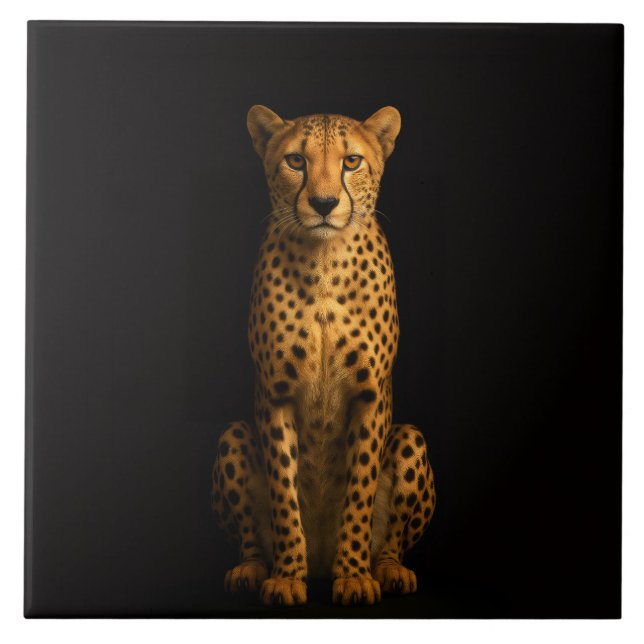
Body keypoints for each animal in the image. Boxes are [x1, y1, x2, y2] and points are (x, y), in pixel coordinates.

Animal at [211, 105, 436, 607]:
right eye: (296, 160)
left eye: (351, 162)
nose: (325, 203)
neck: (324, 260)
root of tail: (320, 559)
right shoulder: (275, 394)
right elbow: (283, 490)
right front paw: (286, 577)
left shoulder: (370, 396)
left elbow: (359, 489)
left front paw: (353, 575)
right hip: (232, 434)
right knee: (250, 537)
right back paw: (252, 569)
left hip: (411, 437)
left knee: (392, 541)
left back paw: (389, 571)